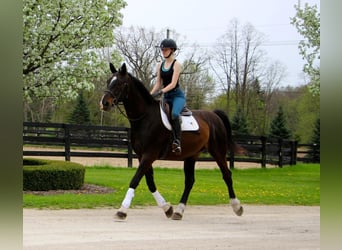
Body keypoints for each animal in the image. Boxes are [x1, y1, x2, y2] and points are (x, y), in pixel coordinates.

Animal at [100, 63, 244, 221]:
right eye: (108, 81)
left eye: (119, 83)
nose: (104, 103)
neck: (145, 117)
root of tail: (214, 115)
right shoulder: (141, 155)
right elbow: (150, 182)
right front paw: (167, 208)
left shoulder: (149, 155)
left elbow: (135, 179)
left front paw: (122, 210)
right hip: (191, 155)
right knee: (189, 181)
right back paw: (179, 211)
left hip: (218, 151)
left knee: (227, 175)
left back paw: (237, 206)